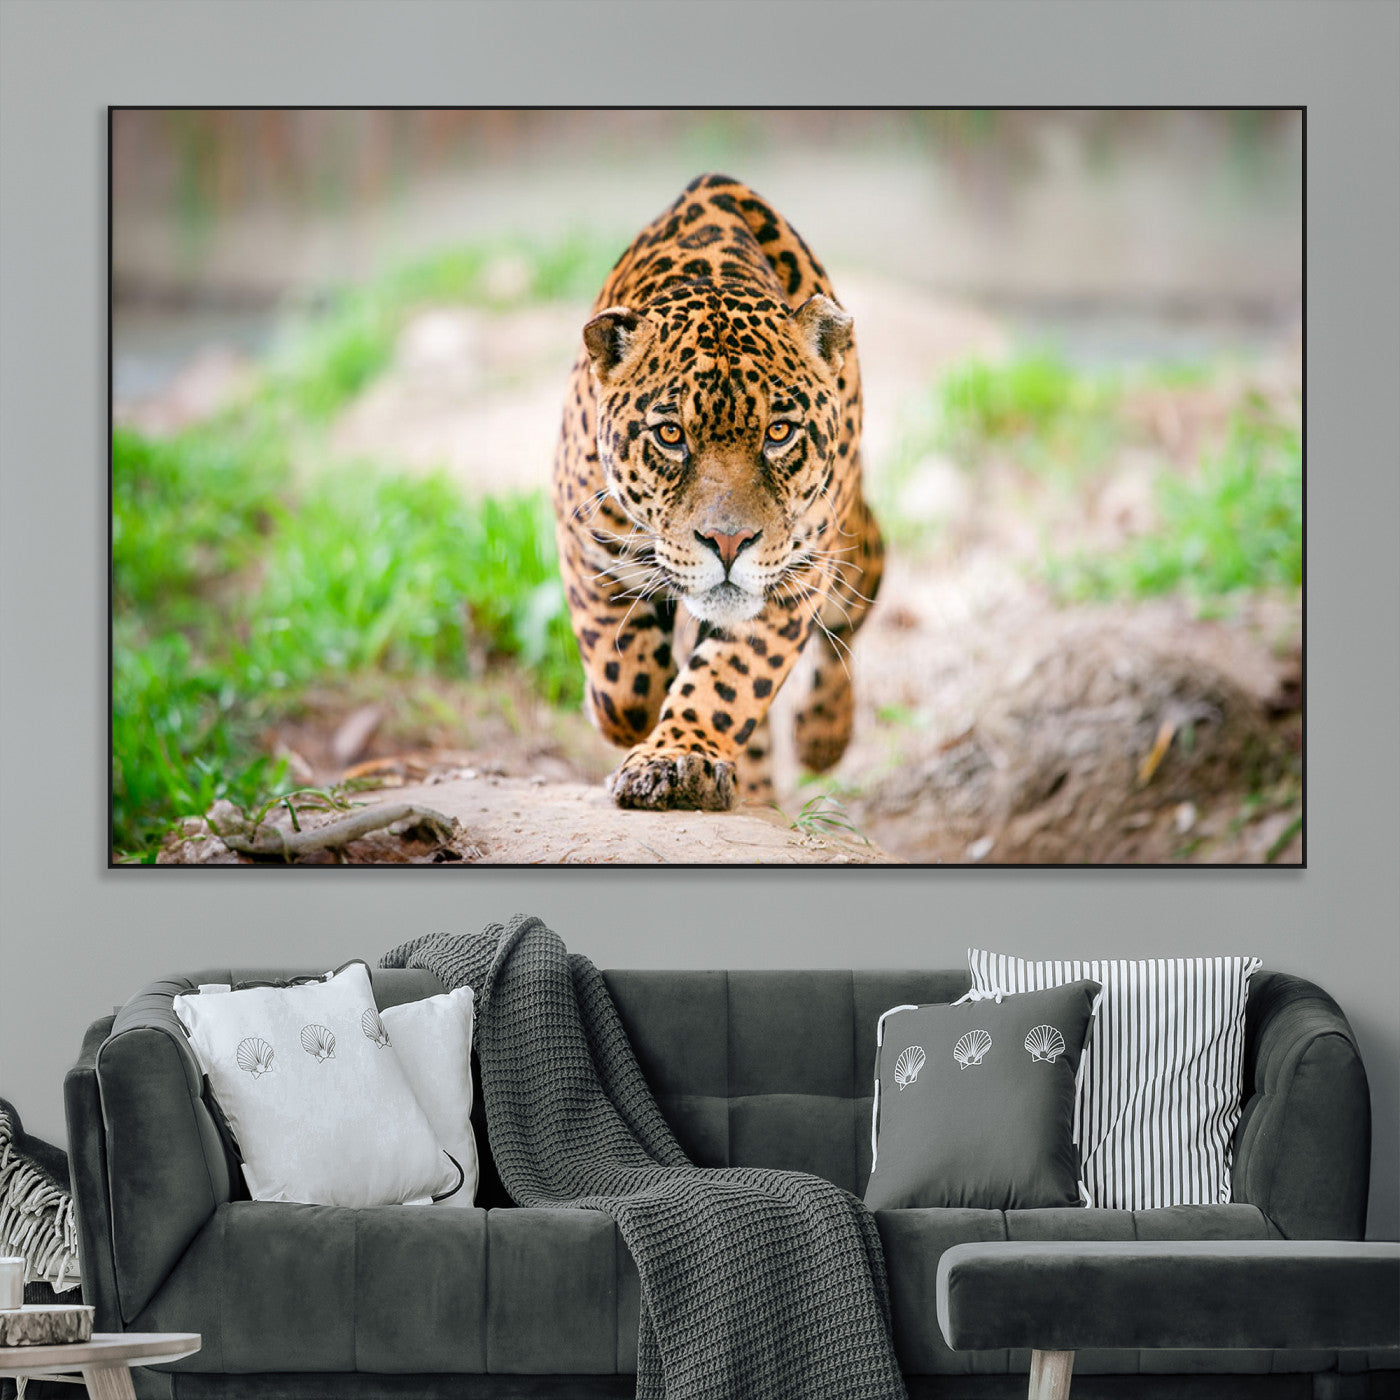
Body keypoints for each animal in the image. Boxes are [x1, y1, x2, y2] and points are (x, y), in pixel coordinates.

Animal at [552, 173, 884, 812]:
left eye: (779, 433)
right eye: (670, 435)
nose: (728, 543)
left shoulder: (795, 574)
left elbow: (729, 680)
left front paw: (678, 758)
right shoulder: (584, 536)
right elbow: (621, 677)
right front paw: (630, 718)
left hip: (852, 548)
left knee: (853, 610)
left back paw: (822, 736)